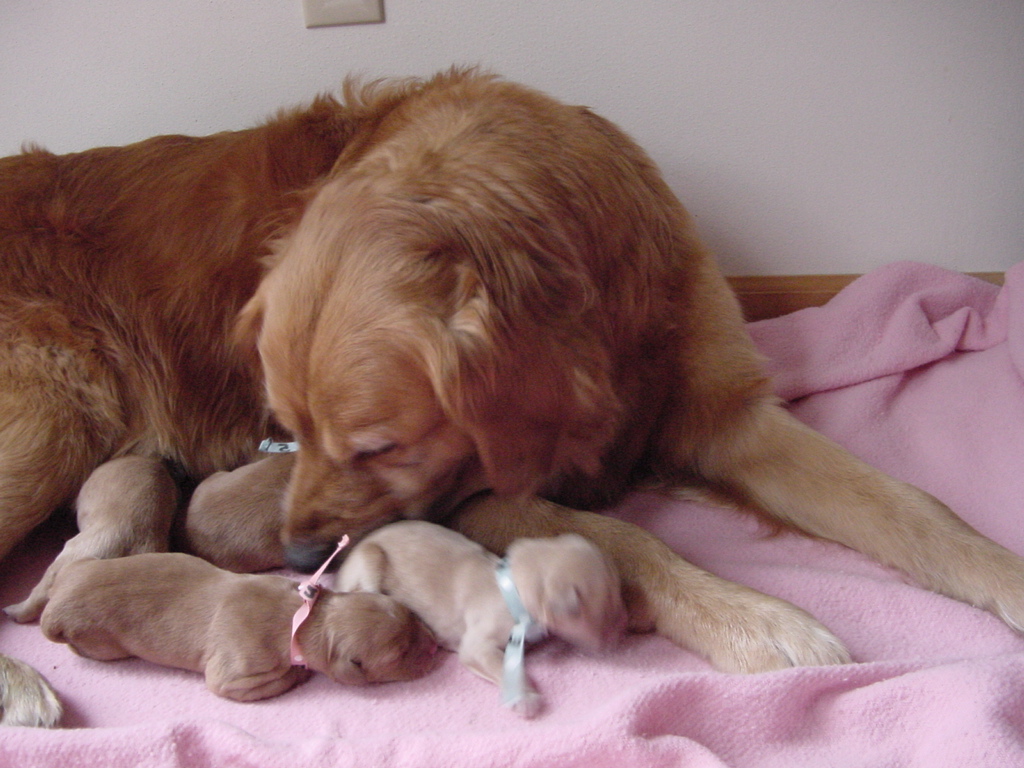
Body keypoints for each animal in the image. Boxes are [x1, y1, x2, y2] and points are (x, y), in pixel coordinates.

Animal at [39, 552, 438, 704]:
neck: (303, 617)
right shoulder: (236, 676)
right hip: (98, 642)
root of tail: (54, 605)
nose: (435, 646)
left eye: (411, 615)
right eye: (399, 654)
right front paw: (297, 675)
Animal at [337, 520, 622, 720]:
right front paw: (524, 697)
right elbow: (502, 666)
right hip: (370, 562)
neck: (513, 589)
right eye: (606, 610)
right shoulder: (477, 646)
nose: (615, 642)